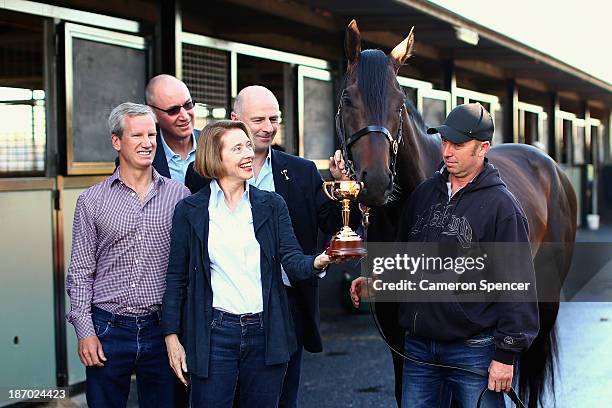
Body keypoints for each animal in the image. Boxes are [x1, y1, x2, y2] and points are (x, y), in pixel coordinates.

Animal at [342, 19, 576, 408]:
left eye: (400, 104)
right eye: (347, 99)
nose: (376, 181)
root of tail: (550, 166)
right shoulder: (401, 341)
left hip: (546, 297)